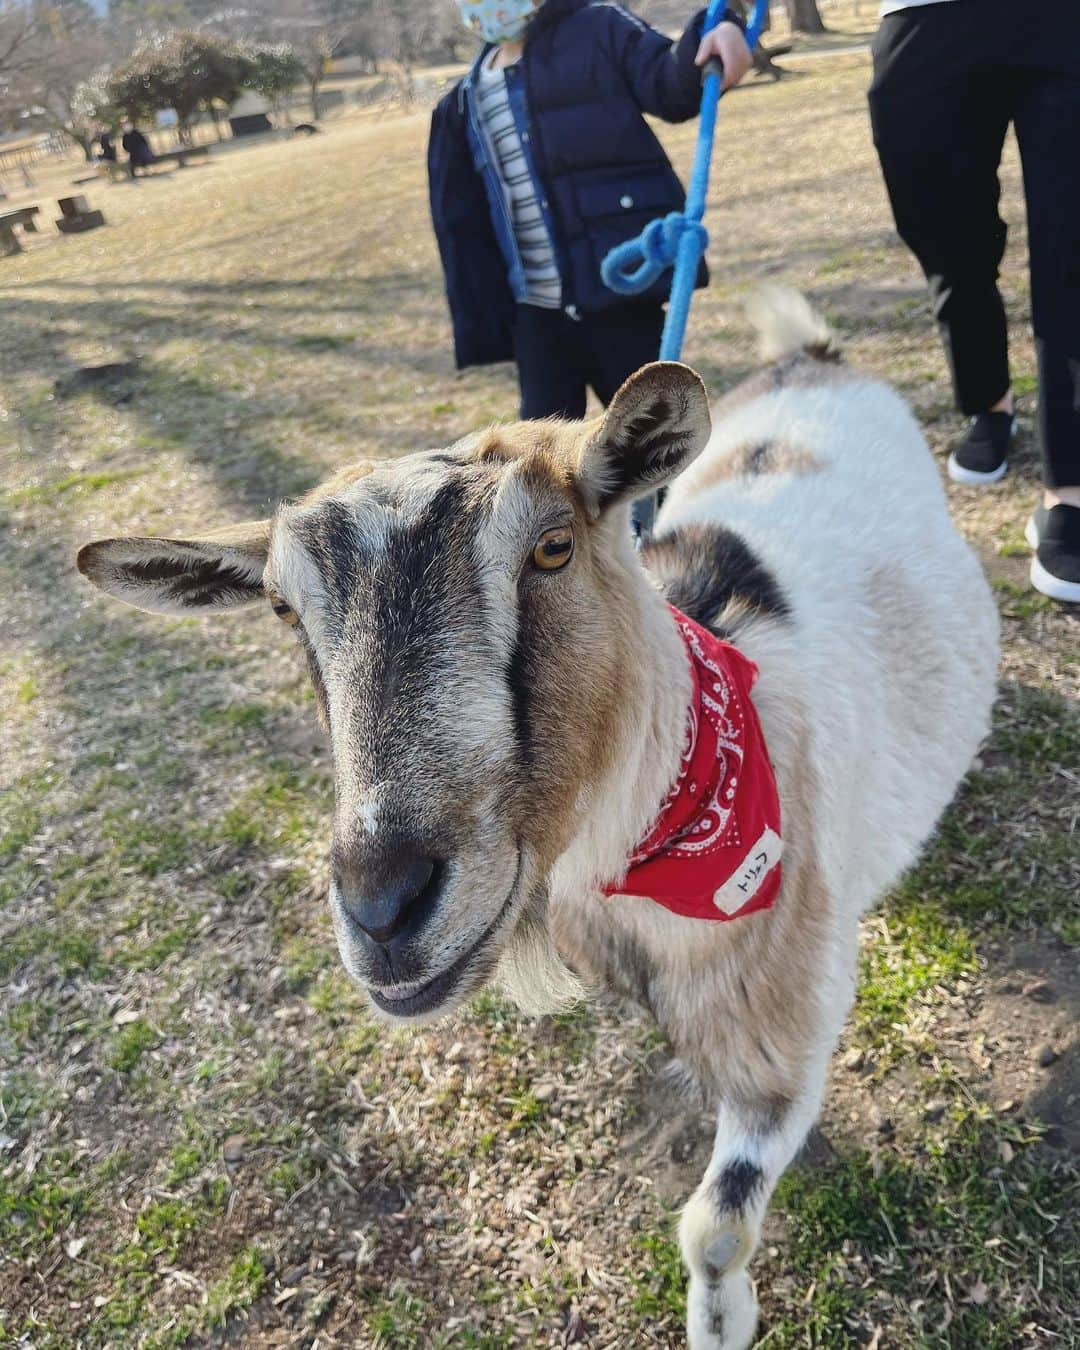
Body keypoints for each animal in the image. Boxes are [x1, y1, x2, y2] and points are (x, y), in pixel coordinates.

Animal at [80, 290, 999, 1344]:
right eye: (280, 606)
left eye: (552, 546)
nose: (384, 910)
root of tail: (810, 358)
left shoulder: (784, 1015)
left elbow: (715, 1226)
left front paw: (722, 1321)